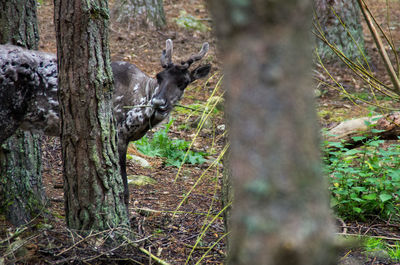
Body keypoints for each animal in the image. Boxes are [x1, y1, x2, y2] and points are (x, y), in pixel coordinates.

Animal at [0, 39, 212, 204]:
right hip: (6, 115)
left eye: (184, 82)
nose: (158, 102)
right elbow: (124, 189)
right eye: (159, 77)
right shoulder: (119, 133)